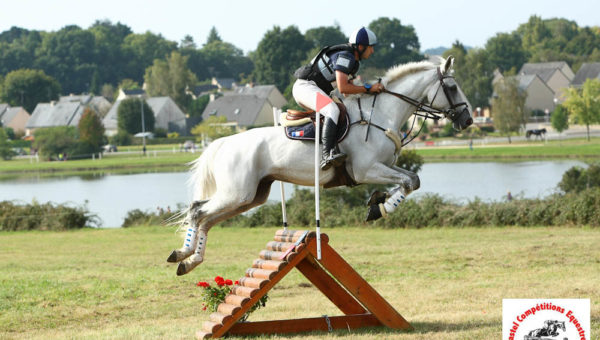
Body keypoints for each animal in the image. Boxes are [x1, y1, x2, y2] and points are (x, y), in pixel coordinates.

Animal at [166, 55, 472, 274]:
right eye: (452, 87)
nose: (467, 120)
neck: (380, 115)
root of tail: (222, 143)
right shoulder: (365, 170)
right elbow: (408, 182)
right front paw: (379, 207)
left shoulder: (381, 166)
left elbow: (412, 181)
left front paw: (378, 204)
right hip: (237, 193)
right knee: (197, 212)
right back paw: (184, 255)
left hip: (251, 196)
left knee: (206, 219)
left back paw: (188, 260)